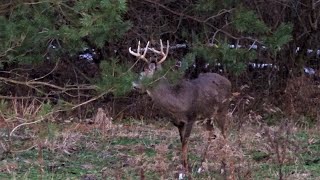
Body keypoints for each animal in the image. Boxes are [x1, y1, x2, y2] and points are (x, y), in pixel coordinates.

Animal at [129, 39, 231, 177]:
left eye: (144, 73)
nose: (134, 85)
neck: (177, 102)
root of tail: (229, 82)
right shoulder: (178, 123)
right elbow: (182, 141)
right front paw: (184, 169)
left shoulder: (191, 117)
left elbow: (185, 142)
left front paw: (184, 172)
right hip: (208, 115)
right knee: (212, 133)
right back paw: (201, 166)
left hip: (222, 110)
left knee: (224, 133)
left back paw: (223, 168)